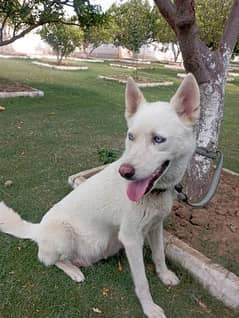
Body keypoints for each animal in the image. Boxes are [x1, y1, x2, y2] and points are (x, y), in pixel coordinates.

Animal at [0, 73, 200, 316]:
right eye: (131, 136)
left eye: (158, 139)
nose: (125, 172)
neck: (154, 194)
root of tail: (37, 229)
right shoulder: (131, 238)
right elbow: (142, 281)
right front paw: (149, 308)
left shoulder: (155, 226)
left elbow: (159, 255)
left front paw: (165, 276)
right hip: (64, 236)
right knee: (48, 260)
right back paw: (73, 270)